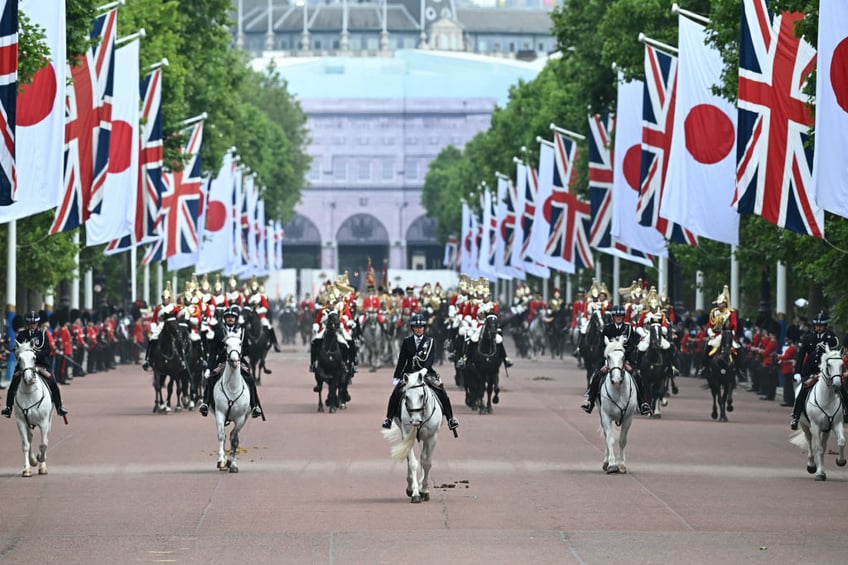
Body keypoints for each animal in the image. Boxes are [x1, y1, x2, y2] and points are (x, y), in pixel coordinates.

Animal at [13, 342, 53, 478]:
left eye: (34, 357)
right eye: (19, 358)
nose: (29, 378)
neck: (29, 393)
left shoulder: (44, 423)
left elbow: (43, 444)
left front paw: (42, 462)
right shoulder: (21, 422)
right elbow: (25, 445)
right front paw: (27, 468)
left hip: (49, 421)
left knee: (45, 440)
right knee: (29, 439)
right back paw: (33, 460)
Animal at [214, 334, 250, 472]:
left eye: (240, 343)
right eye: (226, 344)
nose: (234, 361)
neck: (232, 388)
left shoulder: (240, 418)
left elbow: (234, 439)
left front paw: (233, 464)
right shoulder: (220, 413)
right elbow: (221, 436)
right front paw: (221, 461)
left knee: (234, 436)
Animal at [380, 366, 440, 502]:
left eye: (422, 396)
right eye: (406, 397)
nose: (415, 421)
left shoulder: (432, 437)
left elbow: (427, 463)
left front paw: (424, 490)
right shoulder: (407, 434)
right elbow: (412, 463)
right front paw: (415, 493)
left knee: (423, 458)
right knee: (412, 459)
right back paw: (411, 486)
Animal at [596, 338, 636, 474]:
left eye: (623, 357)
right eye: (608, 357)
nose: (617, 379)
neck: (618, 390)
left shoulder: (628, 418)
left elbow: (622, 440)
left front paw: (621, 464)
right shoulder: (606, 416)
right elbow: (610, 439)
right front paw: (612, 464)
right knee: (606, 435)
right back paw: (606, 461)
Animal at [792, 344, 844, 480]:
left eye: (842, 364)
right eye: (829, 365)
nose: (837, 385)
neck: (827, 398)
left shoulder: (837, 423)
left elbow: (841, 441)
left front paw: (841, 461)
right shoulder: (815, 426)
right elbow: (818, 448)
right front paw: (820, 473)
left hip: (826, 429)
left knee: (824, 444)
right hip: (805, 425)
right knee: (810, 441)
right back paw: (811, 465)